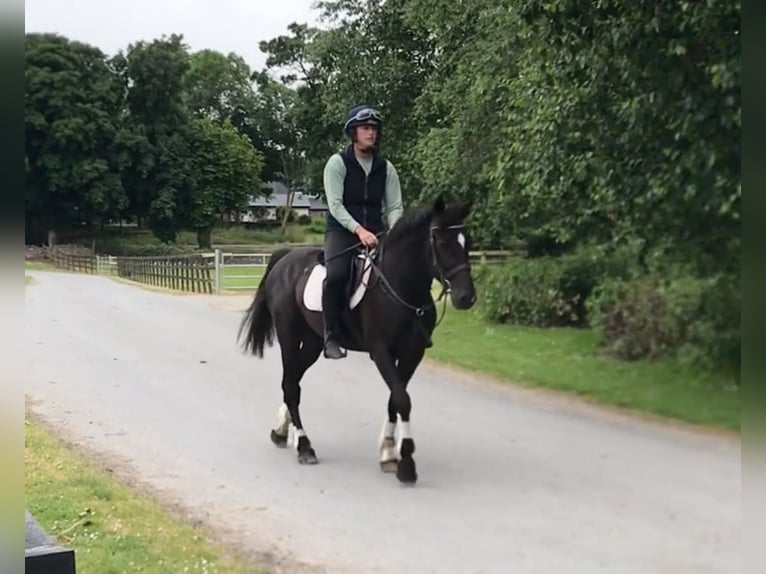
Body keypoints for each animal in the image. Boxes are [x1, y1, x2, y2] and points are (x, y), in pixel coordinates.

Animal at [236, 197, 477, 484]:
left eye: (467, 241)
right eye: (439, 241)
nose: (466, 297)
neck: (399, 286)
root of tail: (285, 260)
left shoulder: (412, 353)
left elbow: (395, 399)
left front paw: (388, 453)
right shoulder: (381, 352)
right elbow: (402, 399)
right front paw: (406, 464)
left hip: (314, 343)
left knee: (293, 380)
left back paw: (282, 431)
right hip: (289, 336)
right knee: (292, 386)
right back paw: (305, 447)